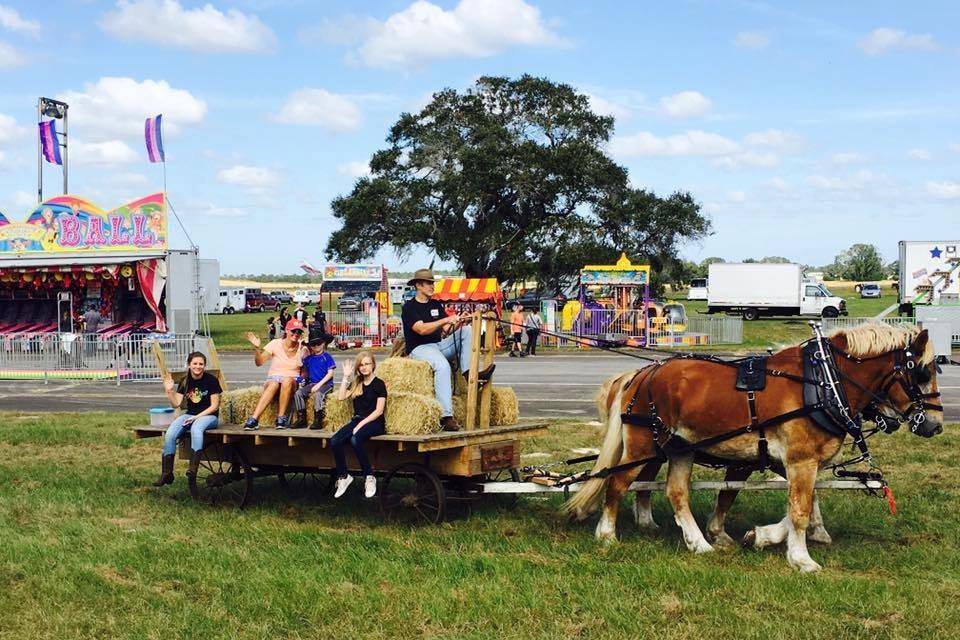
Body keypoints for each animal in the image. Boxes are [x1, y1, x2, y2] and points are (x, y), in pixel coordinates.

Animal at [568, 324, 940, 568]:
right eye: (922, 373)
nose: (934, 425)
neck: (823, 382)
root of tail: (644, 374)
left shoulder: (793, 462)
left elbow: (803, 505)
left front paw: (762, 536)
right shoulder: (799, 459)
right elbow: (800, 510)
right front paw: (801, 559)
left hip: (681, 448)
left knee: (675, 492)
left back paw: (698, 543)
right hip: (643, 445)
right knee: (617, 482)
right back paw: (607, 534)